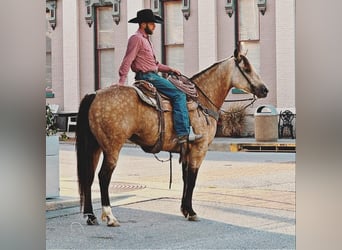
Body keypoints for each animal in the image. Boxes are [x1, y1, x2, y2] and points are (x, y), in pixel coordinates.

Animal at [76, 48, 268, 227]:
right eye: (246, 68)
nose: (264, 90)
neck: (201, 101)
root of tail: (94, 94)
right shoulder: (199, 148)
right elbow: (192, 178)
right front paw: (191, 212)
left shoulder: (186, 151)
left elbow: (185, 178)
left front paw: (185, 209)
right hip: (112, 148)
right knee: (103, 177)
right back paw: (109, 216)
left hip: (95, 147)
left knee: (89, 177)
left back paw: (91, 216)